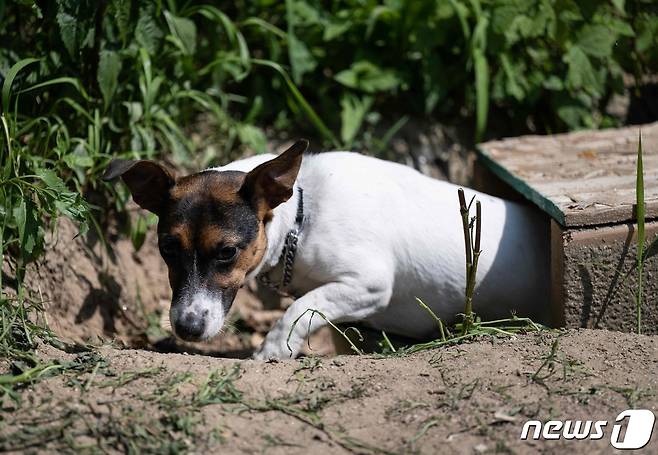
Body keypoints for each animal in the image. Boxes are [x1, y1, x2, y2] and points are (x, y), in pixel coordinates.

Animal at [105, 141, 548, 362]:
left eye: (227, 252)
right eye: (167, 248)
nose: (187, 328)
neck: (302, 219)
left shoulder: (369, 285)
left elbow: (297, 311)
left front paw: (270, 354)